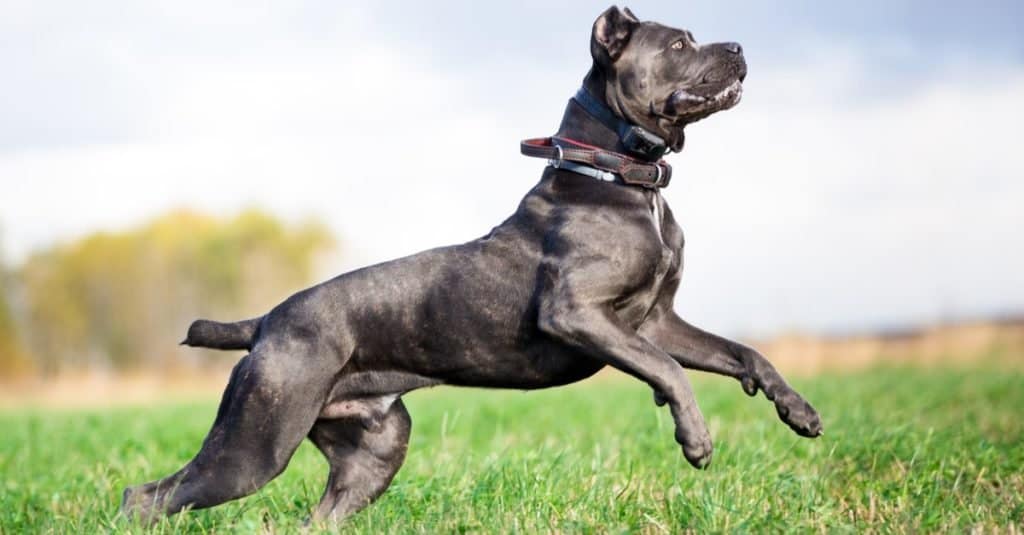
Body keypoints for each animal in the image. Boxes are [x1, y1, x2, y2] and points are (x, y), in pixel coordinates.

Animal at [121, 4, 823, 520]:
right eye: (678, 44)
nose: (739, 46)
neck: (621, 178)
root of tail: (265, 322)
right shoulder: (579, 315)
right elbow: (669, 371)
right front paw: (696, 441)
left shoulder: (658, 320)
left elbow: (742, 354)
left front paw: (799, 411)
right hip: (253, 447)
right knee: (146, 497)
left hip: (373, 452)